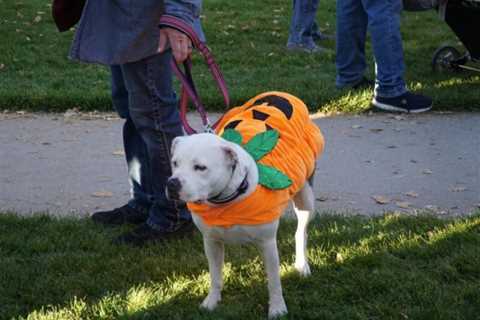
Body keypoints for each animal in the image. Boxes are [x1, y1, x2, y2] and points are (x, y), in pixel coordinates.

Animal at [167, 92, 324, 318]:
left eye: (200, 167)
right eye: (175, 163)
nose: (172, 184)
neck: (227, 200)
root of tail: (283, 94)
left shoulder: (267, 243)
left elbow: (274, 282)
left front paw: (277, 308)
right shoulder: (211, 242)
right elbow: (215, 275)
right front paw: (211, 302)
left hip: (306, 197)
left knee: (300, 231)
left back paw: (302, 265)